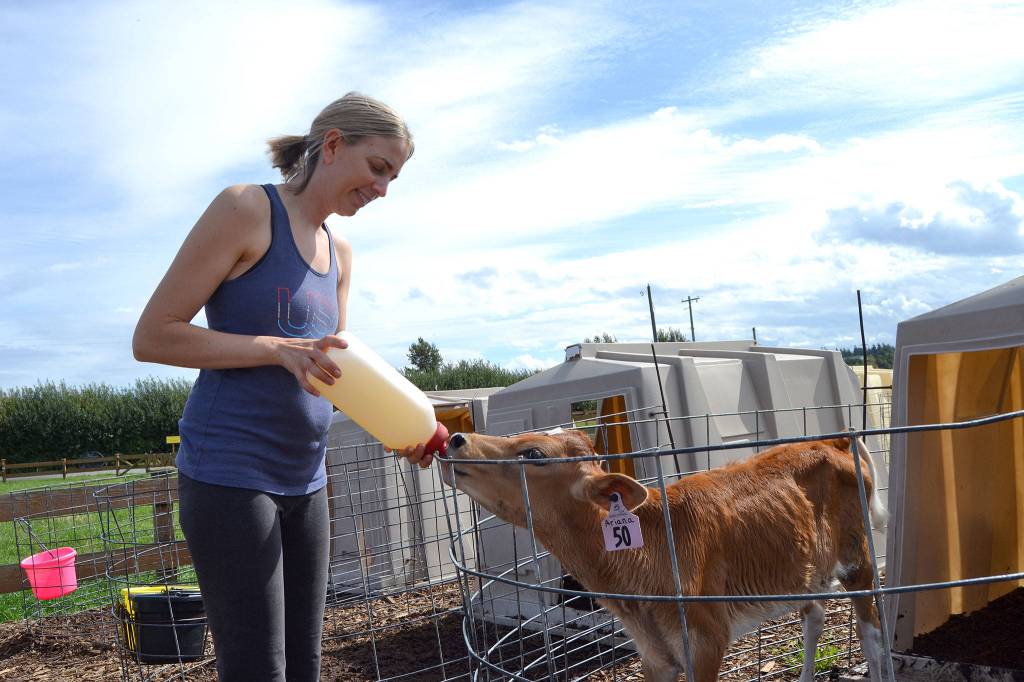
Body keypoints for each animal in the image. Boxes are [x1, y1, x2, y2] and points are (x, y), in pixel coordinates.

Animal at [439, 429, 887, 682]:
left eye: (534, 454)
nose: (456, 439)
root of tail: (833, 441)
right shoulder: (654, 654)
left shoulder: (705, 640)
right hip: (804, 569)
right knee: (815, 616)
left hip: (858, 557)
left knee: (871, 631)